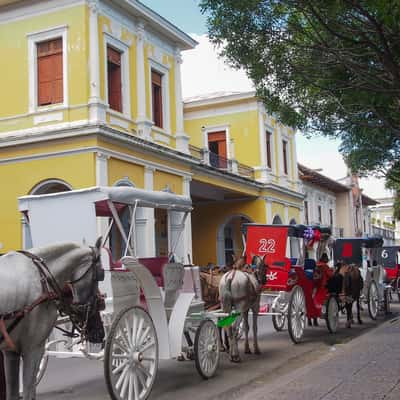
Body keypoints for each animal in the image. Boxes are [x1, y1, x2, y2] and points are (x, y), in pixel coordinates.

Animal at [0, 239, 103, 398]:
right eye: (99, 276)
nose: (99, 333)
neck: (42, 278)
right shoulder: (33, 349)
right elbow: (28, 392)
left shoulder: (11, 351)